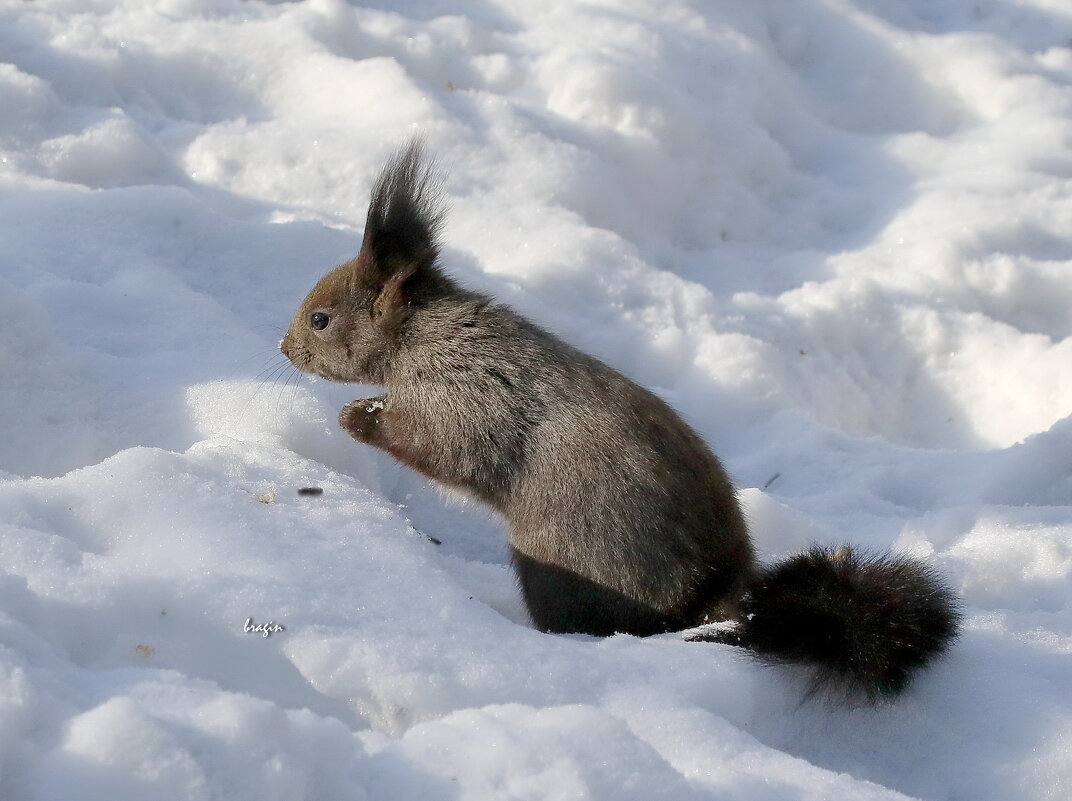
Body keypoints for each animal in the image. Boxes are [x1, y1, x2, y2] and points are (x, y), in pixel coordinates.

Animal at [280, 143, 960, 703]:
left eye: (321, 319)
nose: (285, 350)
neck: (430, 334)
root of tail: (712, 595)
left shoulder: (467, 396)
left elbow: (443, 448)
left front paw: (359, 417)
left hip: (561, 568)